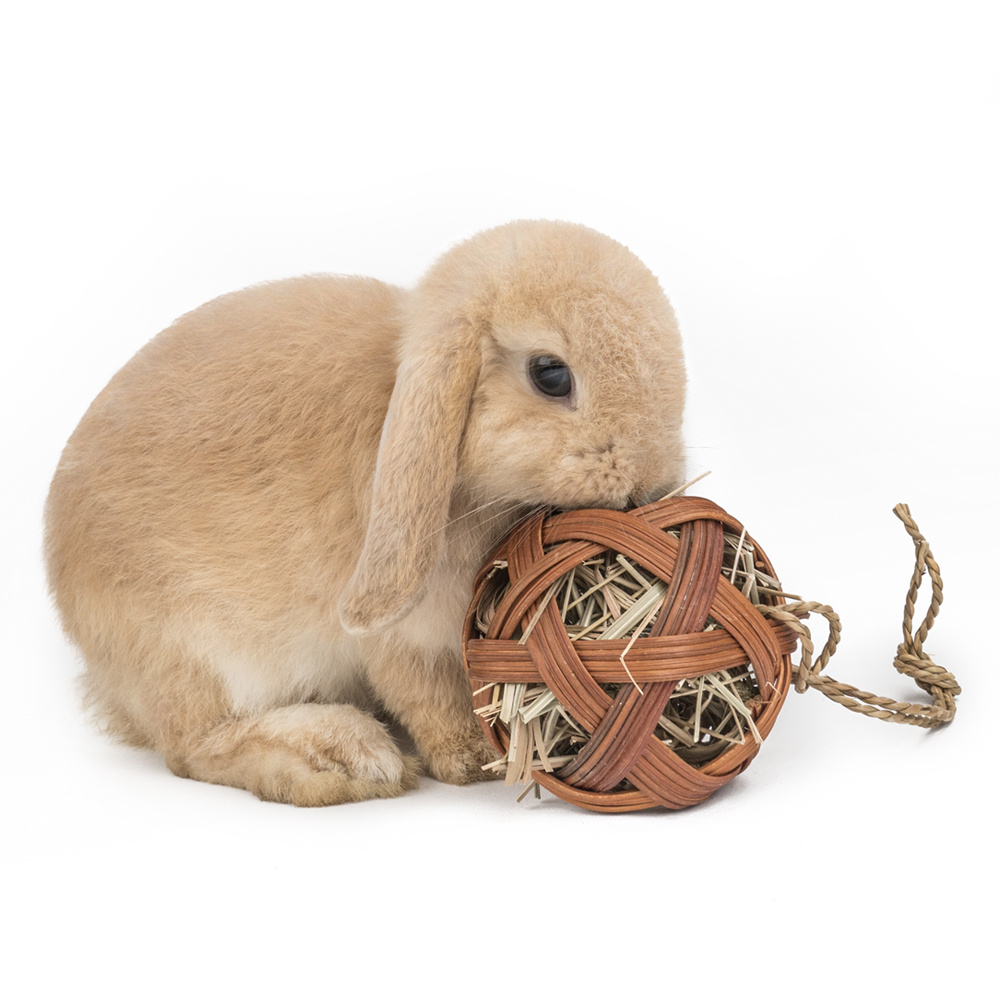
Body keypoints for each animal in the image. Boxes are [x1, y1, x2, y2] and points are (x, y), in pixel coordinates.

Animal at [47, 219, 688, 804]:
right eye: (550, 374)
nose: (645, 485)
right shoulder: (406, 636)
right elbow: (427, 694)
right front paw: (472, 760)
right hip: (198, 653)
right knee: (192, 748)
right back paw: (344, 758)